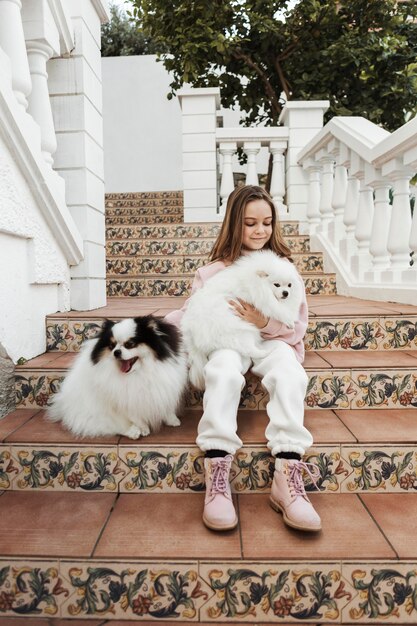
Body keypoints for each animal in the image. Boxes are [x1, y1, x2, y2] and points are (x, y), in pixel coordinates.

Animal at [46, 314, 187, 436]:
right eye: (111, 345)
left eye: (130, 344)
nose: (116, 352)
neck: (140, 372)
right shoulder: (124, 398)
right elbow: (134, 415)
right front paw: (143, 428)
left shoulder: (162, 387)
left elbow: (166, 406)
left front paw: (172, 420)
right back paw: (133, 432)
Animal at [180, 247, 300, 386]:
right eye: (277, 285)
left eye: (289, 285)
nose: (286, 293)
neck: (257, 283)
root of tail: (191, 333)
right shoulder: (264, 301)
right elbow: (277, 311)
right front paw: (289, 321)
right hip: (241, 331)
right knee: (249, 349)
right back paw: (265, 352)